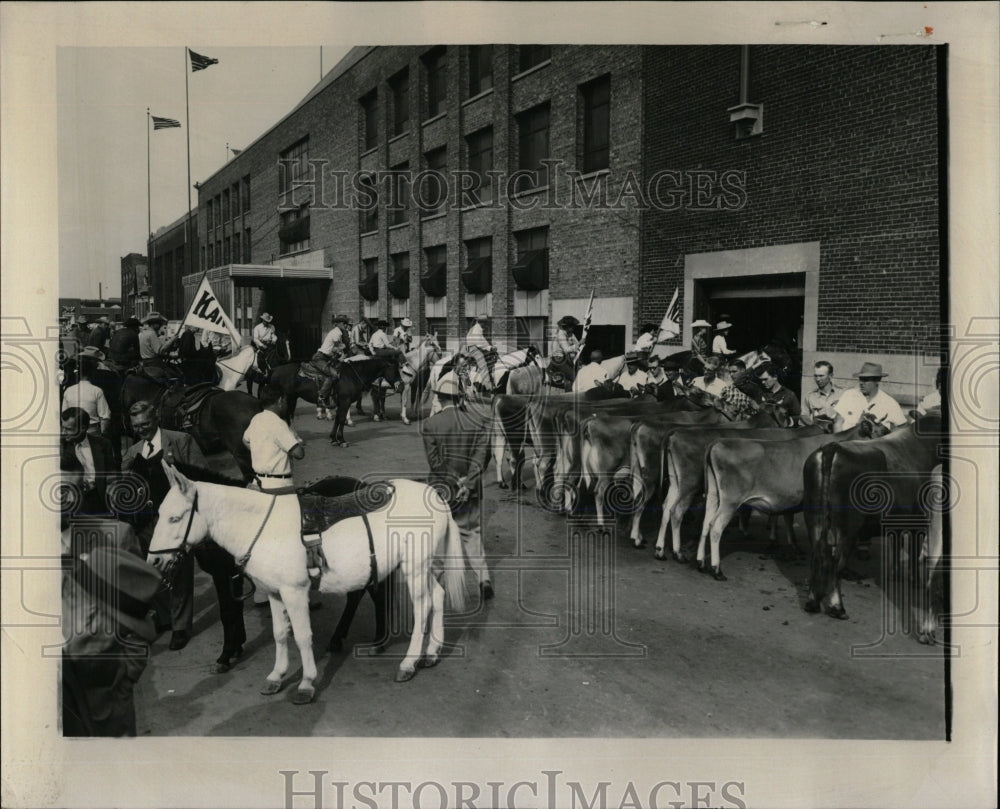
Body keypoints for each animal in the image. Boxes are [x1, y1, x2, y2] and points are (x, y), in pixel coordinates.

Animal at [148, 464, 468, 704]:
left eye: (175, 518)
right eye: (158, 512)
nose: (154, 561)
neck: (262, 526)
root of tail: (434, 495)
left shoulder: (294, 591)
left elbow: (302, 637)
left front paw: (306, 683)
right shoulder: (275, 592)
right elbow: (280, 634)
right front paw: (276, 676)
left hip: (414, 569)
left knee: (423, 607)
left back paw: (408, 663)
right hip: (422, 568)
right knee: (437, 596)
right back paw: (431, 653)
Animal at [272, 354, 404, 446]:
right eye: (395, 370)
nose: (401, 386)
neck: (352, 375)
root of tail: (275, 370)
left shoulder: (341, 403)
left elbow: (337, 419)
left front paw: (333, 439)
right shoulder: (345, 401)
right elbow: (341, 419)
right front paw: (341, 440)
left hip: (292, 398)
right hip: (289, 398)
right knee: (288, 417)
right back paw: (296, 439)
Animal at [800, 414, 940, 620]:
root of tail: (832, 447)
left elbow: (896, 546)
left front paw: (894, 575)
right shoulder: (920, 520)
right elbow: (914, 552)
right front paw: (915, 581)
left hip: (814, 518)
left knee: (817, 555)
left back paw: (813, 602)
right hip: (848, 526)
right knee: (836, 561)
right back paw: (837, 607)